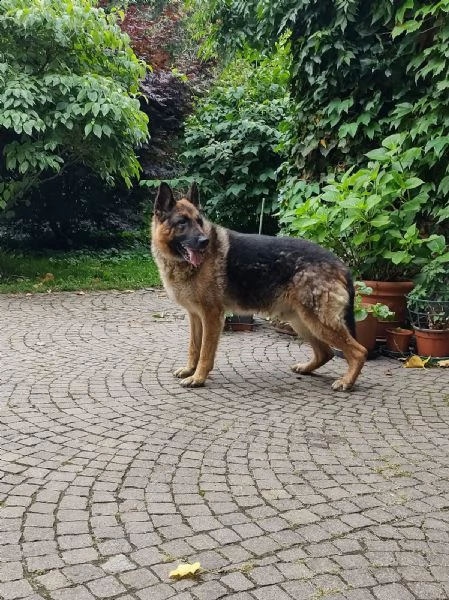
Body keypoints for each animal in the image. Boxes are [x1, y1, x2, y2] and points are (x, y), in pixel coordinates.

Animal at [152, 180, 366, 392]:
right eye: (182, 222)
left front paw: (198, 377)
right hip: (301, 322)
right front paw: (190, 370)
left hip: (319, 322)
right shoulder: (195, 316)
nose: (205, 241)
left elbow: (205, 352)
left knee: (359, 351)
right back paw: (306, 368)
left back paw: (346, 381)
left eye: (199, 221)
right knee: (325, 353)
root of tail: (341, 265)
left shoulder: (211, 316)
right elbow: (194, 347)